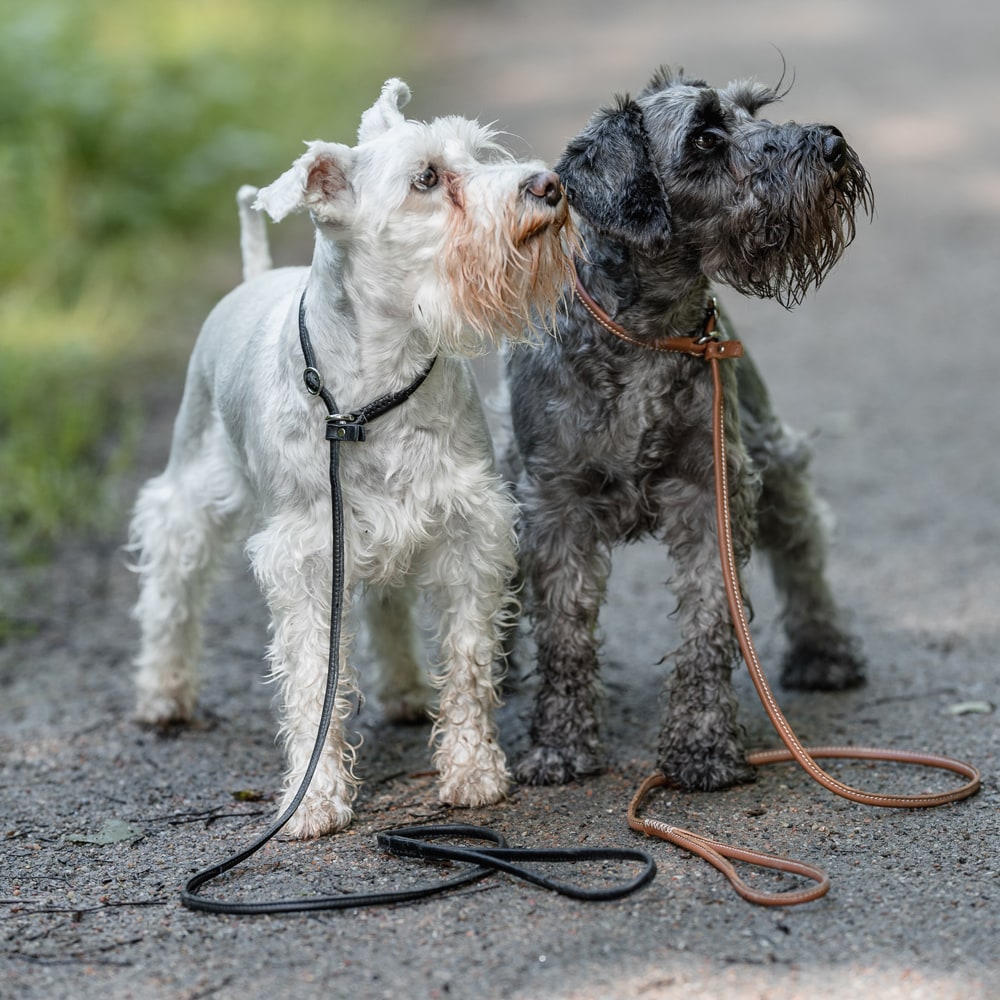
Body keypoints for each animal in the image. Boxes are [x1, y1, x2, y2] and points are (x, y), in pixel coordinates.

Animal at [129, 82, 576, 840]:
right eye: (427, 178)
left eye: (477, 153)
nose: (547, 184)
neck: (375, 387)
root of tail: (255, 277)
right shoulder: (306, 556)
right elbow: (315, 680)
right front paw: (313, 799)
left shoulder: (469, 530)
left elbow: (468, 660)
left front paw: (472, 771)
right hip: (193, 482)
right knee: (171, 581)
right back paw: (163, 694)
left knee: (388, 606)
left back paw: (405, 690)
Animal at [504, 66, 872, 792]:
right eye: (704, 136)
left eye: (756, 109)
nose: (833, 144)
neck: (651, 333)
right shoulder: (554, 503)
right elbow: (563, 634)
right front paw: (559, 745)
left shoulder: (714, 493)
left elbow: (709, 622)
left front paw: (702, 746)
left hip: (775, 459)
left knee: (805, 551)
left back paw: (824, 653)